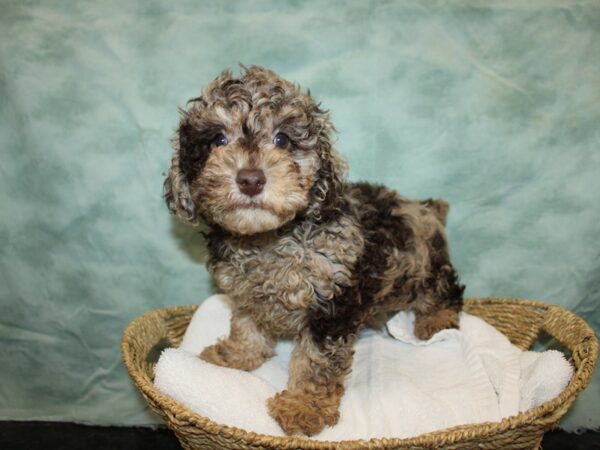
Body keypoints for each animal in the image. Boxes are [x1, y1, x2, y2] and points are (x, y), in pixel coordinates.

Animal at [164, 67, 464, 436]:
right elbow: (246, 324)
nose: (250, 179)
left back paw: (436, 321)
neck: (269, 239)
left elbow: (315, 360)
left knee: (445, 290)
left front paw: (303, 405)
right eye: (218, 140)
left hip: (422, 269)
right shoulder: (246, 292)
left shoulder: (331, 303)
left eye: (282, 140)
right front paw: (234, 356)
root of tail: (425, 207)